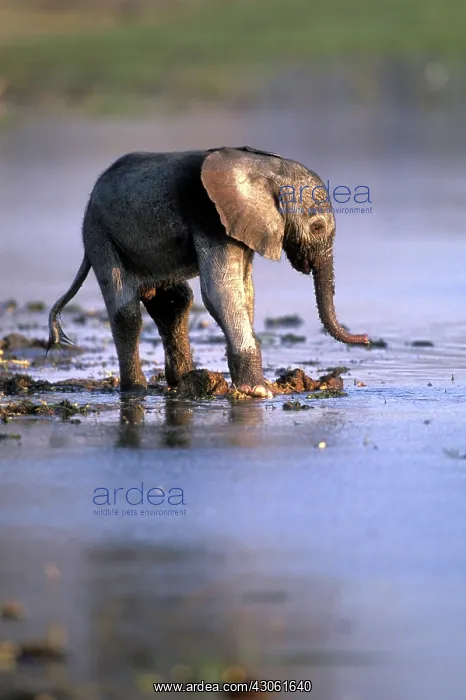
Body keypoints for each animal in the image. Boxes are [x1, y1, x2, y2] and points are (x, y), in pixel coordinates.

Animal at [48, 145, 369, 398]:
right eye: (317, 227)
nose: (365, 339)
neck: (265, 168)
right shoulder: (211, 217)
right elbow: (220, 292)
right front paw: (259, 392)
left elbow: (246, 293)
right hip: (99, 234)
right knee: (127, 312)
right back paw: (137, 389)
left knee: (174, 302)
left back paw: (181, 382)